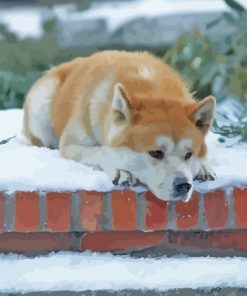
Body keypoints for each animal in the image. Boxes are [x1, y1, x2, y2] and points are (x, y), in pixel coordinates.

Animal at [23, 51, 216, 202]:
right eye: (156, 153)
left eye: (189, 154)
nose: (184, 186)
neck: (150, 88)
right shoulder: (70, 145)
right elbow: (102, 151)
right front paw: (121, 171)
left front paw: (203, 167)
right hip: (41, 107)